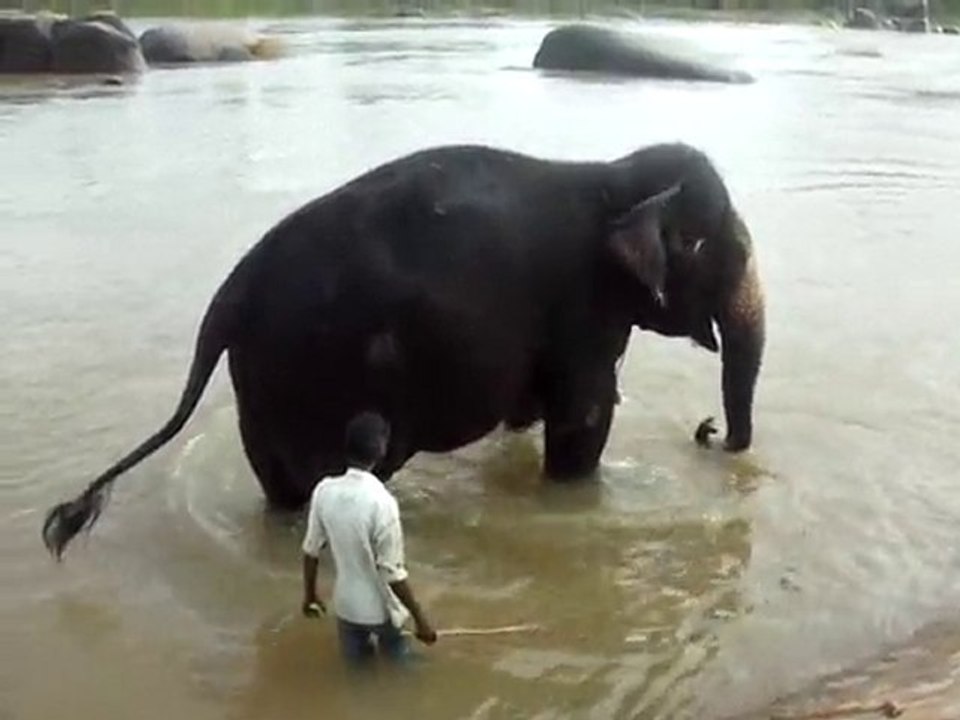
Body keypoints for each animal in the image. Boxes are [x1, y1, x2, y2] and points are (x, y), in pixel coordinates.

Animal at [41, 142, 766, 559]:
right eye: (719, 249)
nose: (706, 430)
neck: (613, 175)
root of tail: (230, 292)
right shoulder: (584, 307)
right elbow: (582, 422)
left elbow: (532, 410)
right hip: (310, 373)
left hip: (263, 384)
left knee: (281, 492)